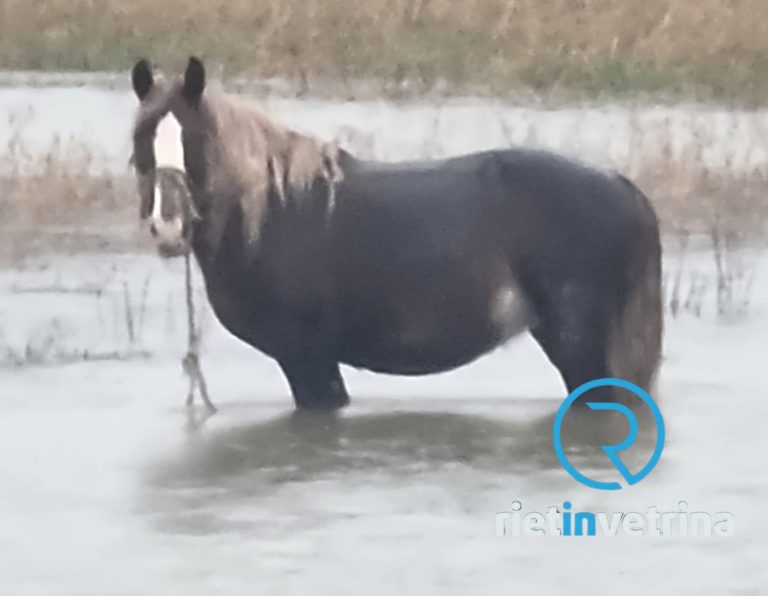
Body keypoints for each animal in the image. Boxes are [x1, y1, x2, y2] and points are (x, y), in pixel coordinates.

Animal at [130, 56, 663, 410]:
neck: (274, 211)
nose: (168, 227)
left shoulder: (309, 361)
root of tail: (622, 187)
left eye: (196, 143)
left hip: (581, 347)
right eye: (141, 143)